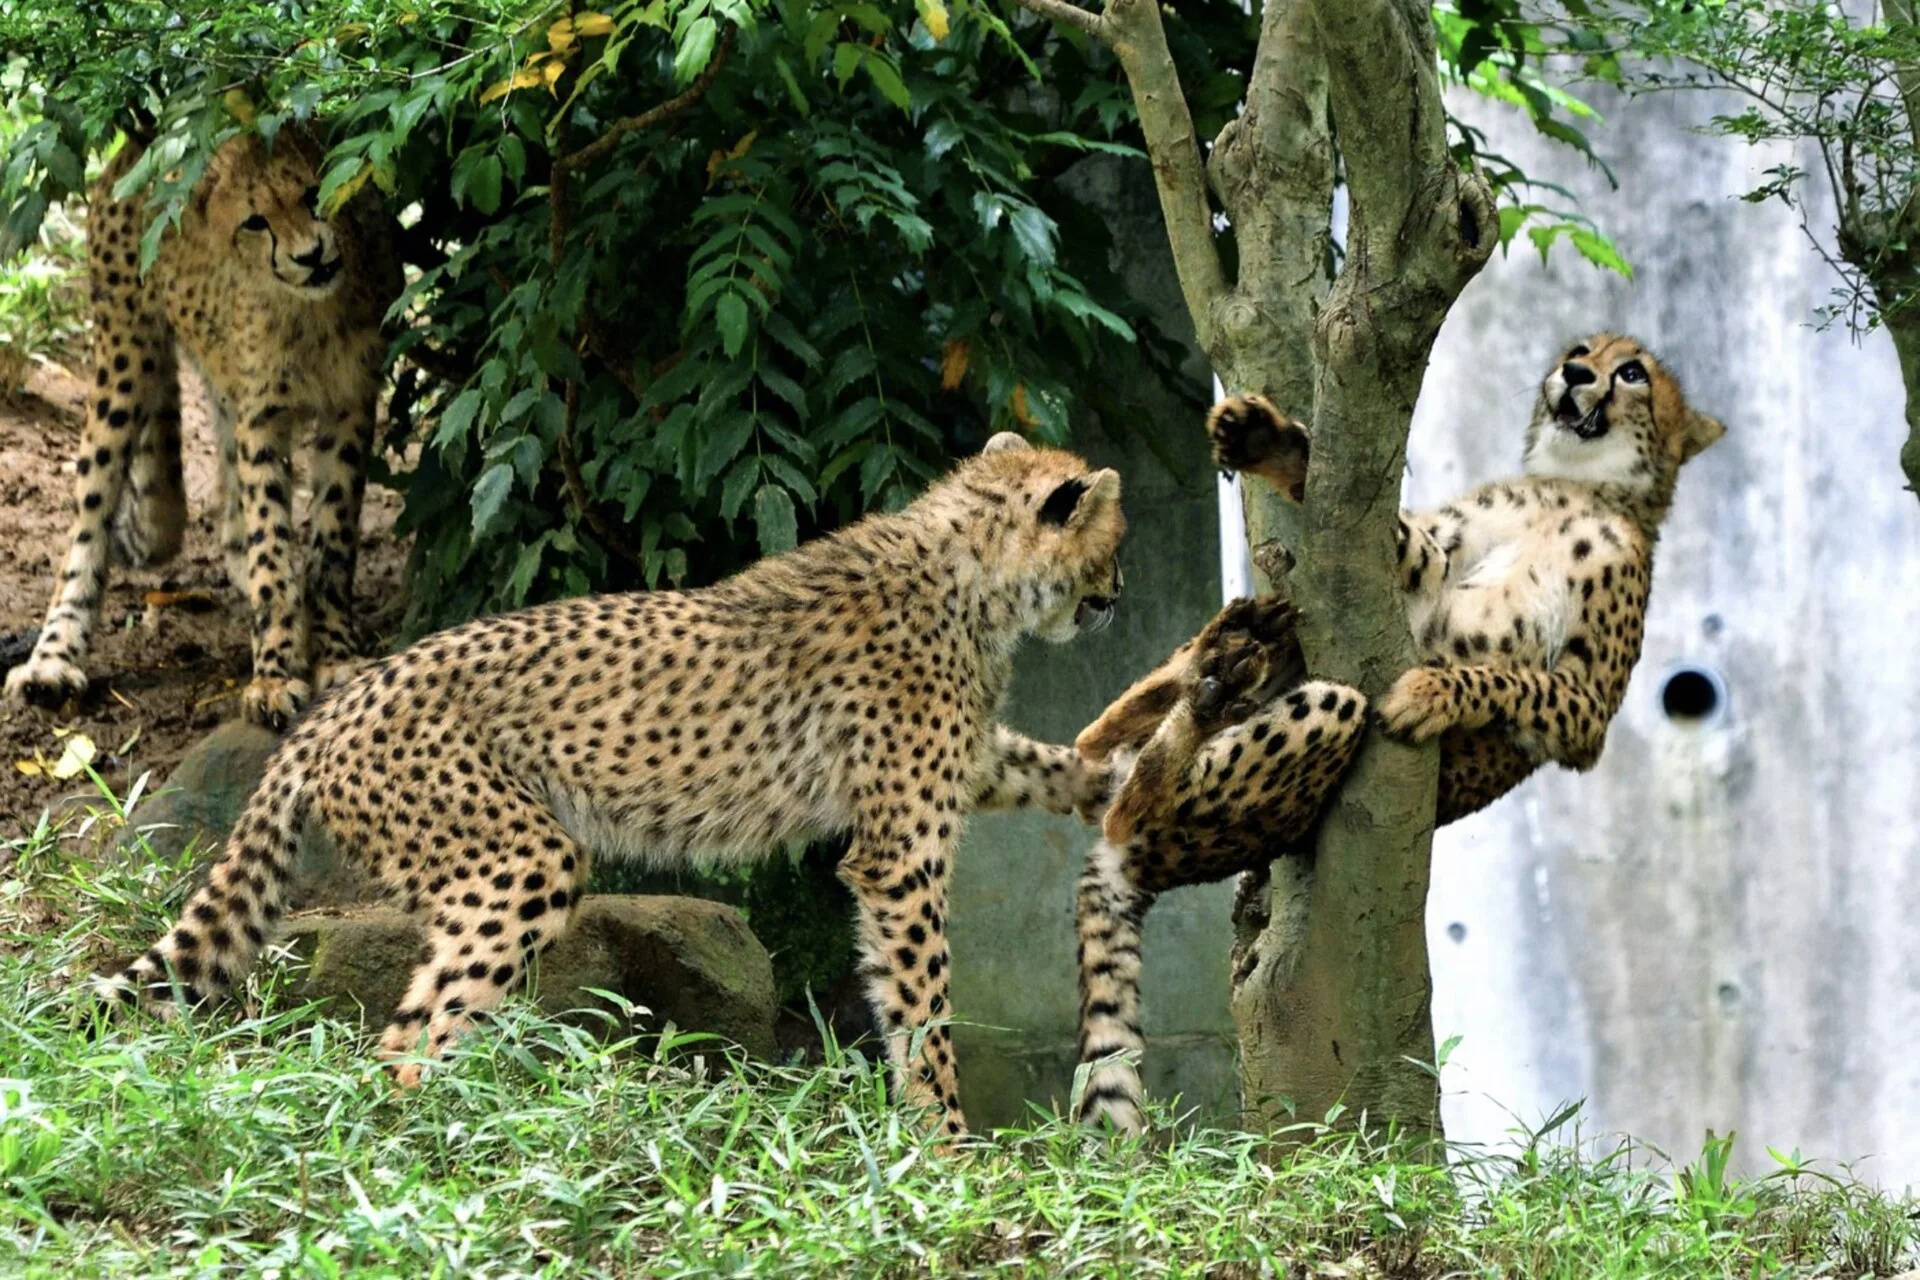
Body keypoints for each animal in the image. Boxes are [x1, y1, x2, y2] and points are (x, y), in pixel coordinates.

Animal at [7, 130, 403, 729]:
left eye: (313, 193)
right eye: (256, 221)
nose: (309, 255)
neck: (311, 311)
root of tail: (138, 143)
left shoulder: (348, 404)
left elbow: (331, 542)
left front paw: (334, 651)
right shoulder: (262, 415)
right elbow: (270, 541)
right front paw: (274, 674)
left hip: (218, 384)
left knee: (229, 512)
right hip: (125, 360)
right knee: (91, 510)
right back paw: (53, 659)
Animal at [97, 429, 1121, 1143]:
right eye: (1110, 550)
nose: (1115, 598)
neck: (972, 571)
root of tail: (337, 702)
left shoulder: (959, 767)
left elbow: (1029, 764)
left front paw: (1110, 778)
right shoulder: (901, 855)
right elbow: (924, 1005)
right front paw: (946, 1146)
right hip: (516, 858)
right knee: (408, 1039)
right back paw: (458, 1145)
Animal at [1067, 333, 1728, 1128]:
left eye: (1632, 373)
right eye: (1580, 349)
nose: (1574, 374)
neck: (1571, 487)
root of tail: (1130, 866)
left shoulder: (1587, 712)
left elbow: (1507, 677)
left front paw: (1429, 690)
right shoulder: (1431, 558)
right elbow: (1411, 544)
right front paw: (1271, 442)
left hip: (1320, 721)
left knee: (1128, 804)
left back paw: (1200, 708)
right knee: (1115, 741)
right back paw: (1206, 666)